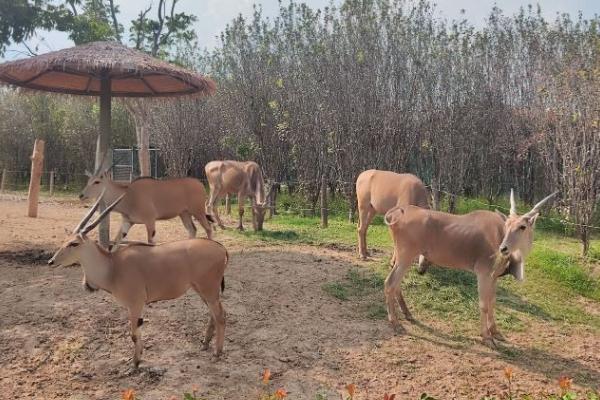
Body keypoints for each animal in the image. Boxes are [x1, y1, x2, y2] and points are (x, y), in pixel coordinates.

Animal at [47, 194, 227, 368]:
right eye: (65, 241)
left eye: (74, 243)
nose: (51, 261)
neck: (113, 267)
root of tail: (221, 248)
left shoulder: (135, 304)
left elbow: (133, 334)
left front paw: (135, 362)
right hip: (202, 291)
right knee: (213, 314)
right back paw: (205, 344)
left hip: (208, 290)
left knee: (220, 316)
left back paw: (217, 352)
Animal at [78, 164, 212, 245]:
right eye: (88, 180)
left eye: (97, 181)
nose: (81, 195)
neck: (129, 195)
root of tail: (199, 184)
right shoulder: (127, 222)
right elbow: (116, 241)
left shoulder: (150, 221)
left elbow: (150, 242)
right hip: (184, 214)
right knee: (192, 230)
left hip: (198, 212)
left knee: (208, 228)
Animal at [384, 189, 556, 346]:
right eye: (507, 224)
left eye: (522, 226)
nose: (503, 248)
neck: (498, 234)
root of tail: (396, 214)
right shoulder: (483, 274)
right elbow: (484, 304)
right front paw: (487, 337)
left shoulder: (493, 277)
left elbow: (492, 302)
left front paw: (496, 332)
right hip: (406, 258)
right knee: (390, 283)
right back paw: (396, 323)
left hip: (403, 259)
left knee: (396, 284)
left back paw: (408, 314)